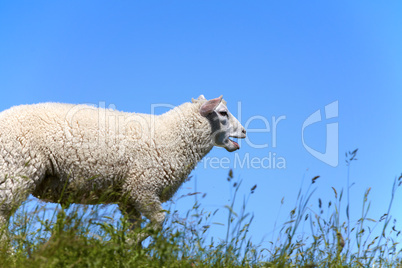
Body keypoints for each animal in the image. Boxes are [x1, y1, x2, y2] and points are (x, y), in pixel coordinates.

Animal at [0, 95, 245, 244]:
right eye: (223, 113)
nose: (244, 131)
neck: (173, 136)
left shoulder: (128, 196)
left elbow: (135, 227)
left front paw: (128, 250)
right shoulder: (143, 187)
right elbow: (159, 220)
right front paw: (124, 244)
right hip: (14, 172)